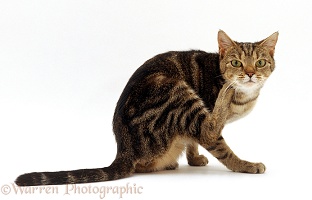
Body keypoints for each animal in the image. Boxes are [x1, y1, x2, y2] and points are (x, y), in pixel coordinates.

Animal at [14, 29, 278, 186]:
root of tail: (123, 148)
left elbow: (192, 143)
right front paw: (244, 166)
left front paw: (194, 159)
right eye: (236, 63)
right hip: (173, 89)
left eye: (260, 62)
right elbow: (217, 145)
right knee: (208, 128)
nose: (250, 73)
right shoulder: (204, 117)